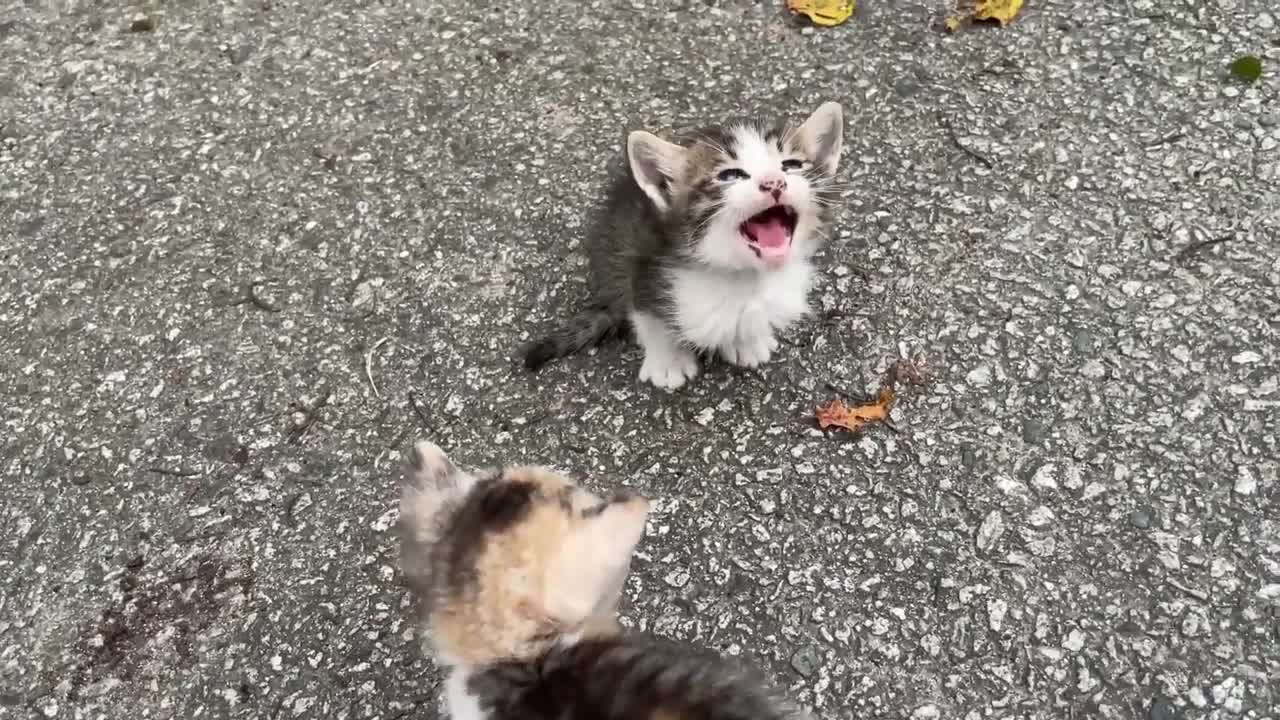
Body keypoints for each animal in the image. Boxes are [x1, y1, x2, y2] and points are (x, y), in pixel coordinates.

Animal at [519, 101, 849, 386]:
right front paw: (669, 362)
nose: (774, 182)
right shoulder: (642, 261)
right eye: (730, 174)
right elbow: (651, 318)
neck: (740, 274)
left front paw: (747, 340)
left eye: (791, 165)